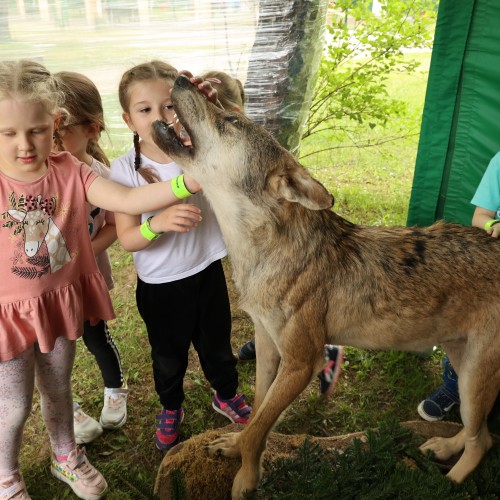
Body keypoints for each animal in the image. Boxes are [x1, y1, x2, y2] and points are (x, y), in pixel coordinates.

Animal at [152, 75, 500, 500]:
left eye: (231, 120)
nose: (181, 78)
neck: (261, 256)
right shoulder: (267, 346)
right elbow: (255, 415)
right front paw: (233, 447)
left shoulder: (303, 363)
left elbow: (258, 431)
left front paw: (245, 480)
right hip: (464, 372)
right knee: (479, 431)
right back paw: (444, 448)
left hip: (474, 377)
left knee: (483, 441)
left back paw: (449, 480)